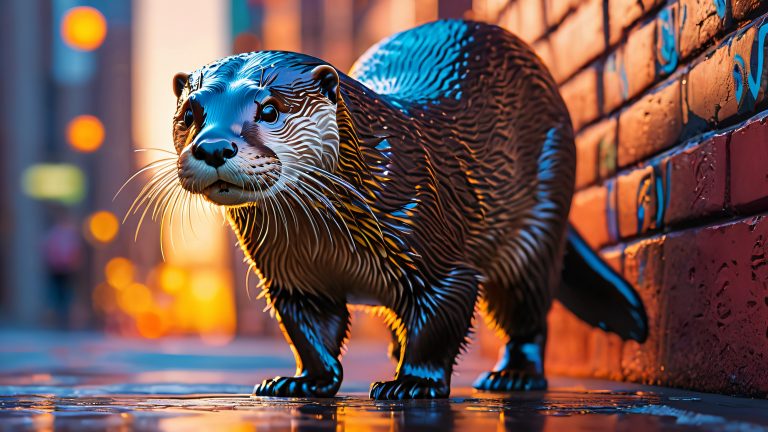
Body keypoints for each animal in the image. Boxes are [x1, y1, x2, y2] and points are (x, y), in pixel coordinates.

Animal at [164, 20, 647, 400]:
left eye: (269, 109)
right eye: (190, 114)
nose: (214, 146)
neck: (331, 242)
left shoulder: (439, 259)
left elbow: (439, 320)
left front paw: (412, 383)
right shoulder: (293, 277)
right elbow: (308, 330)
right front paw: (303, 381)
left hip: (537, 224)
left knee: (527, 308)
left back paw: (513, 376)